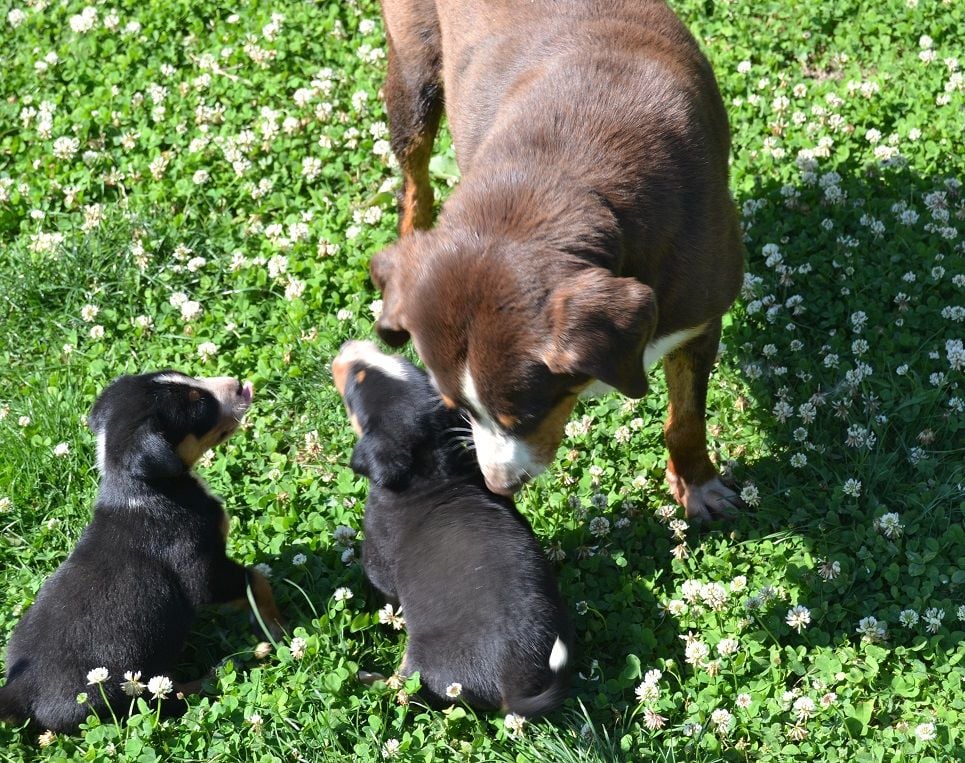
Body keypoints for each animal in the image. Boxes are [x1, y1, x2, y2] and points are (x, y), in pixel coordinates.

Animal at [0, 372, 284, 736]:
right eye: (199, 406)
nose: (237, 384)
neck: (145, 488)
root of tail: (20, 690)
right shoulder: (202, 571)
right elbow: (257, 580)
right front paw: (275, 626)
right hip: (119, 689)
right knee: (167, 697)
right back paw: (228, 666)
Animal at [332, 340, 572, 716]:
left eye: (358, 381)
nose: (349, 345)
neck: (434, 471)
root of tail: (511, 688)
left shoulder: (377, 561)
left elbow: (384, 590)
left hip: (426, 663)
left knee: (408, 690)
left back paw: (369, 678)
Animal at [370, 0, 744, 520]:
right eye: (458, 408)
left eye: (526, 415)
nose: (499, 485)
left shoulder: (697, 321)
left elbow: (686, 419)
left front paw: (698, 485)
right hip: (414, 78)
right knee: (414, 179)